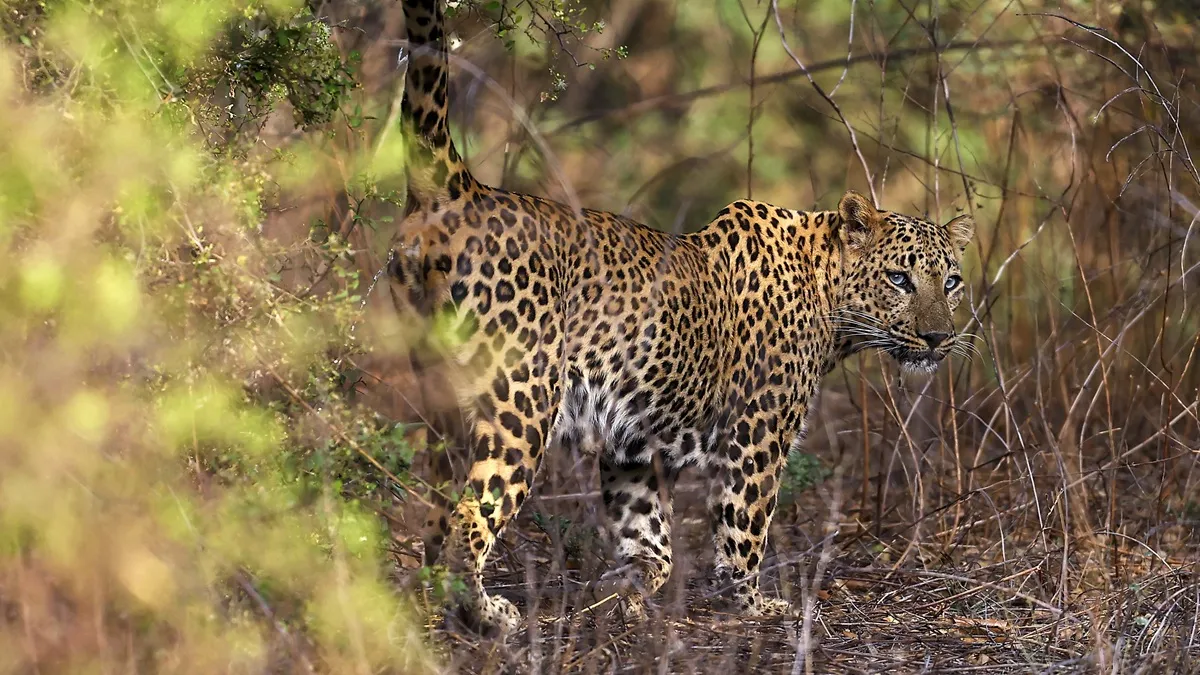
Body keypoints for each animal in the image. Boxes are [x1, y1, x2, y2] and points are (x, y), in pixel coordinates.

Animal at [388, 0, 975, 636]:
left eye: (951, 282)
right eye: (899, 279)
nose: (938, 337)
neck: (826, 297)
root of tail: (465, 191)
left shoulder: (630, 442)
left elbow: (648, 531)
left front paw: (627, 586)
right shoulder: (757, 432)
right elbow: (745, 524)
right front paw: (751, 604)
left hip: (438, 397)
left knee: (435, 509)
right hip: (521, 401)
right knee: (470, 515)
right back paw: (485, 612)